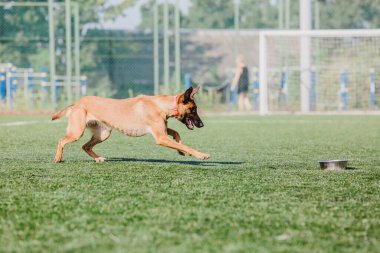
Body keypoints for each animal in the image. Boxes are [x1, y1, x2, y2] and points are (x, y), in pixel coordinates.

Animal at [52, 86, 209, 163]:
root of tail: (77, 103)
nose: (202, 125)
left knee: (85, 146)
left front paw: (181, 150)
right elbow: (186, 145)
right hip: (77, 132)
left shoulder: (163, 131)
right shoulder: (161, 137)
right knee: (61, 140)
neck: (161, 105)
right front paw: (200, 155)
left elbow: (177, 134)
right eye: (193, 109)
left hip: (103, 134)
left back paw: (98, 159)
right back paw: (58, 158)